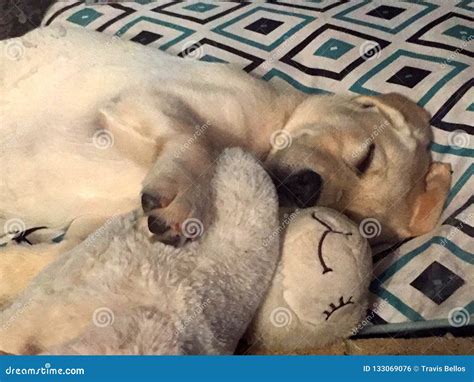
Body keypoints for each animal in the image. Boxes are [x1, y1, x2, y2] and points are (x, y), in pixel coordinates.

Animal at [0, 26, 452, 308]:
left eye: (350, 217)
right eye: (366, 155)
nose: (306, 190)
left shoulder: (94, 225)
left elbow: (57, 258)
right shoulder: (144, 101)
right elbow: (199, 143)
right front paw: (183, 200)